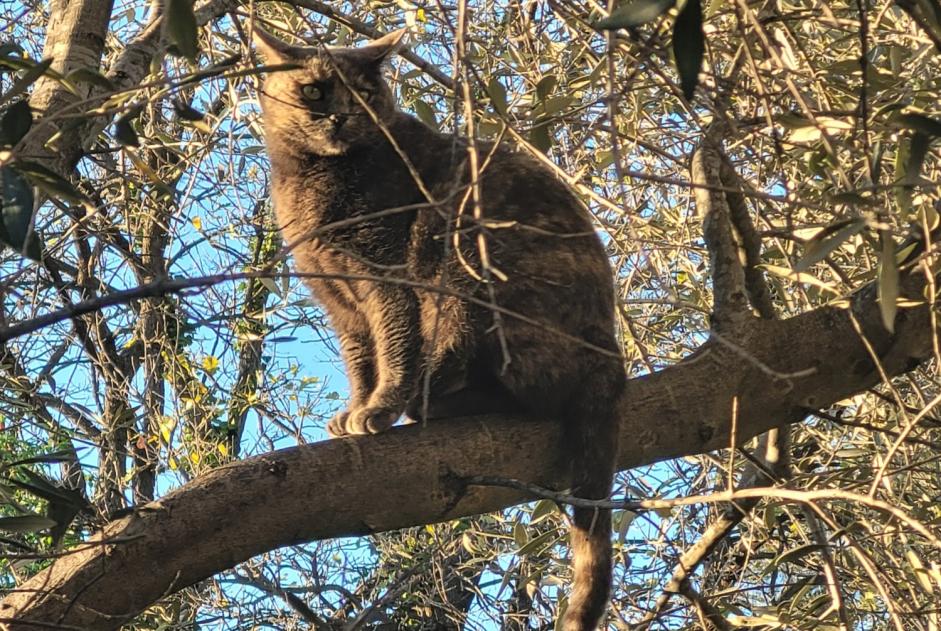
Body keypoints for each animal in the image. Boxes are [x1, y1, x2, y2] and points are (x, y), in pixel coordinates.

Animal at [253, 25, 628, 631]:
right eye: (314, 90)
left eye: (365, 92)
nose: (341, 117)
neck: (309, 183)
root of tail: (611, 354)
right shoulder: (340, 304)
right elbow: (361, 361)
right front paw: (356, 407)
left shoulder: (385, 274)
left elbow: (395, 343)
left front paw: (378, 408)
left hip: (460, 250)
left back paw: (425, 400)